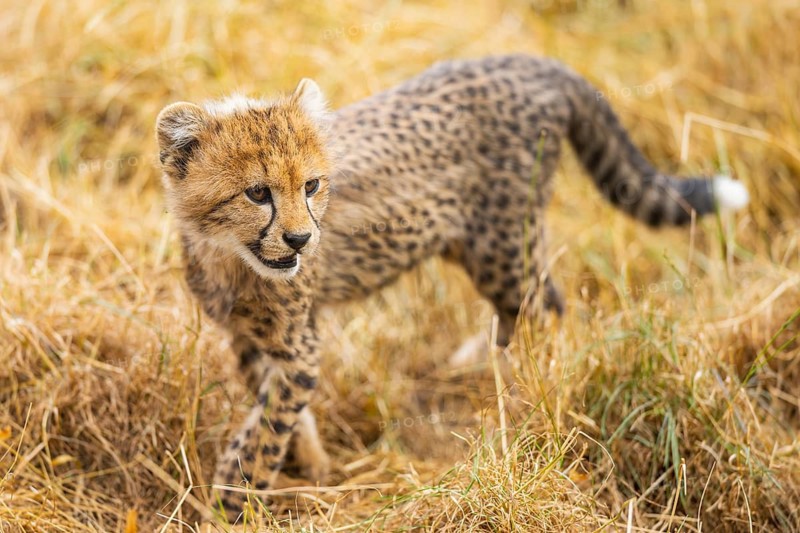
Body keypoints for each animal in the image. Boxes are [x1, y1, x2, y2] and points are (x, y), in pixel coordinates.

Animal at [155, 54, 748, 517]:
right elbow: (278, 415)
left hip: (500, 244)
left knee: (546, 306)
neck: (229, 255)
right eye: (257, 192)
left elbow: (262, 434)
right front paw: (313, 465)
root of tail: (527, 60)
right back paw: (481, 366)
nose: (301, 239)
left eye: (312, 185)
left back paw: (535, 394)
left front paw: (228, 503)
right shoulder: (251, 341)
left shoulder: (296, 346)